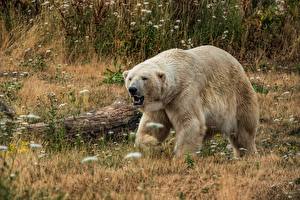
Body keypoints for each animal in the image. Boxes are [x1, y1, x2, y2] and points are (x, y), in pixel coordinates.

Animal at [123, 45, 258, 158]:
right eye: (130, 78)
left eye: (144, 78)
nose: (132, 89)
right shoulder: (160, 104)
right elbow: (153, 125)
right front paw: (153, 145)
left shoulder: (184, 94)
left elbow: (191, 122)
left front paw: (181, 157)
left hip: (238, 94)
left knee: (243, 130)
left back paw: (247, 154)